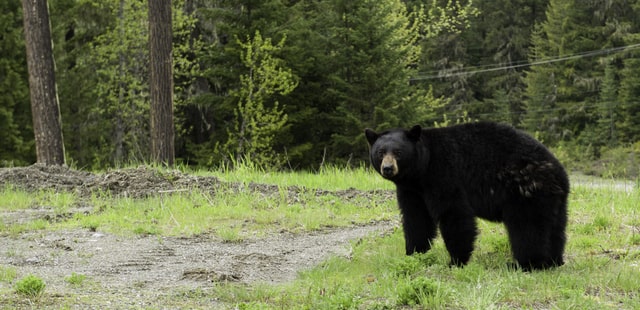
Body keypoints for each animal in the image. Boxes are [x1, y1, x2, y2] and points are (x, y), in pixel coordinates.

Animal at [364, 122, 568, 270]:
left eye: (398, 152)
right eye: (380, 152)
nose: (388, 168)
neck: (422, 169)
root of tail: (559, 173)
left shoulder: (444, 175)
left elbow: (454, 215)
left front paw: (455, 261)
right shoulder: (411, 190)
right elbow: (416, 218)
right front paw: (414, 253)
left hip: (524, 190)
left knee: (527, 229)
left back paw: (526, 264)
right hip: (553, 201)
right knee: (555, 229)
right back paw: (554, 260)